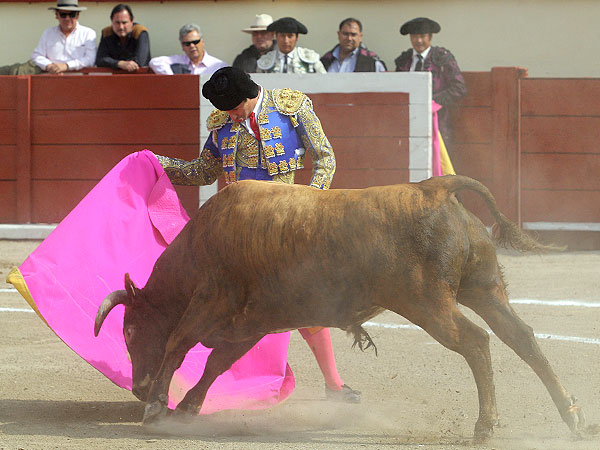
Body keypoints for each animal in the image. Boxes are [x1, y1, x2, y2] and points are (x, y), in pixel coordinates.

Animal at [95, 176, 584, 442]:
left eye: (130, 332)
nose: (137, 387)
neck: (200, 245)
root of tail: (434, 188)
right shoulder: (251, 325)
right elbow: (217, 363)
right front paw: (187, 408)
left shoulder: (210, 303)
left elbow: (178, 343)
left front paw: (158, 407)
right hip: (484, 290)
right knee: (522, 338)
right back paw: (572, 416)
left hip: (428, 303)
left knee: (477, 342)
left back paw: (486, 425)